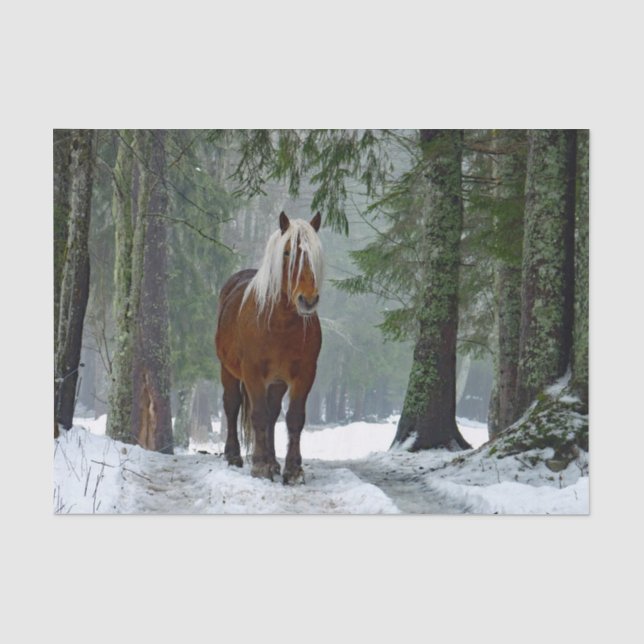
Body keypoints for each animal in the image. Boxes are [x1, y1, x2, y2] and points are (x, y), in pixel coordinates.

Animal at [215, 211, 323, 484]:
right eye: (287, 253)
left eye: (316, 254)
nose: (307, 300)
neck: (279, 324)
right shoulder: (252, 372)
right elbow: (258, 415)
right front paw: (260, 466)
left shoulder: (304, 374)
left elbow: (293, 418)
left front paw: (292, 469)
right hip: (228, 370)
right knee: (232, 406)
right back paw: (234, 456)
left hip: (277, 381)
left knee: (274, 414)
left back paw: (274, 461)